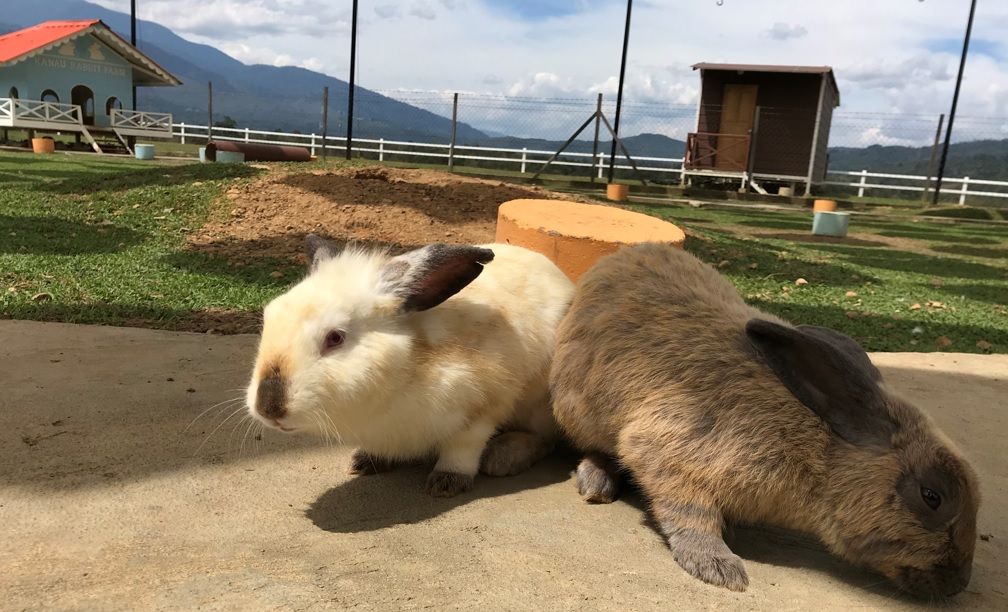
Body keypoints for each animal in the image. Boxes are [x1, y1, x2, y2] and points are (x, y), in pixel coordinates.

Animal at [245, 235, 575, 497]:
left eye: (335, 338)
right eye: (268, 317)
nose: (269, 408)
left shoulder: (482, 407)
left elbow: (463, 448)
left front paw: (446, 483)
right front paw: (365, 461)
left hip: (540, 407)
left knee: (545, 439)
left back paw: (502, 457)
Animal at [549, 242, 980, 598]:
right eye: (932, 496)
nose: (958, 584)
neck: (821, 448)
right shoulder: (671, 450)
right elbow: (690, 513)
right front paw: (718, 567)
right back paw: (596, 482)